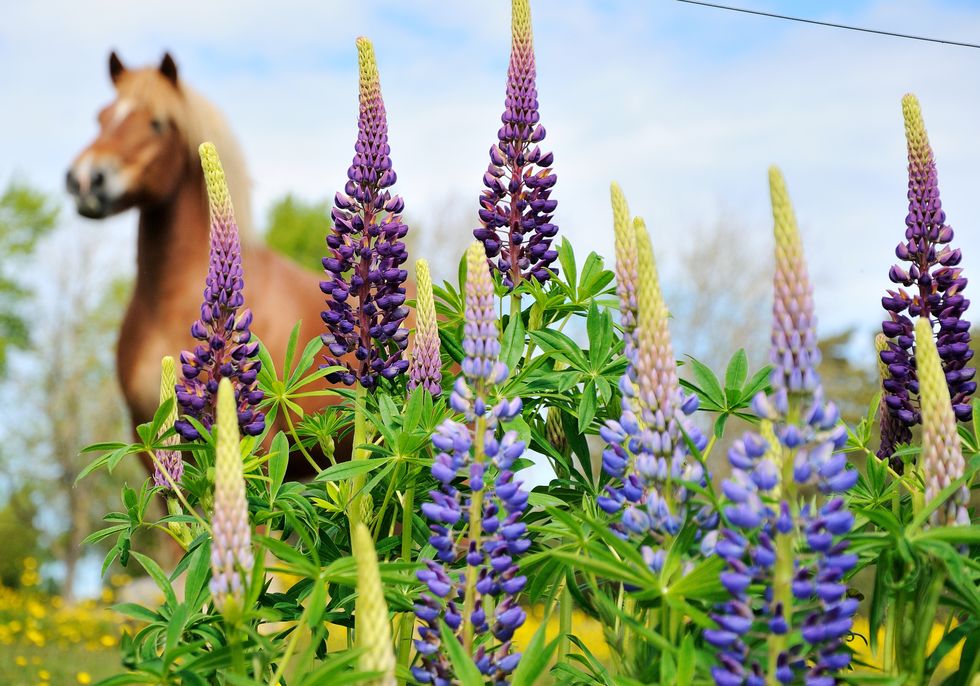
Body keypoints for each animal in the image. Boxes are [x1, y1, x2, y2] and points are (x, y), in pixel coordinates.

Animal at [67, 52, 338, 478]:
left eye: (157, 122)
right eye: (102, 116)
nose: (83, 179)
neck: (164, 300)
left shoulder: (261, 445)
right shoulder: (146, 435)